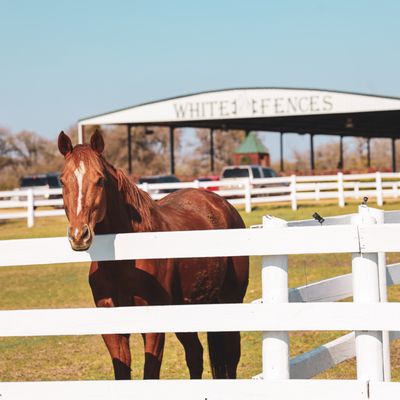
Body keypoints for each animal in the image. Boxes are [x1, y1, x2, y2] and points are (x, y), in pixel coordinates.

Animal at [57, 130, 248, 380]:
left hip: (231, 300)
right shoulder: (113, 328)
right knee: (195, 355)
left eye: (100, 179)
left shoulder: (153, 325)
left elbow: (150, 374)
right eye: (62, 180)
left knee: (231, 357)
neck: (123, 263)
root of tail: (222, 205)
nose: (79, 235)